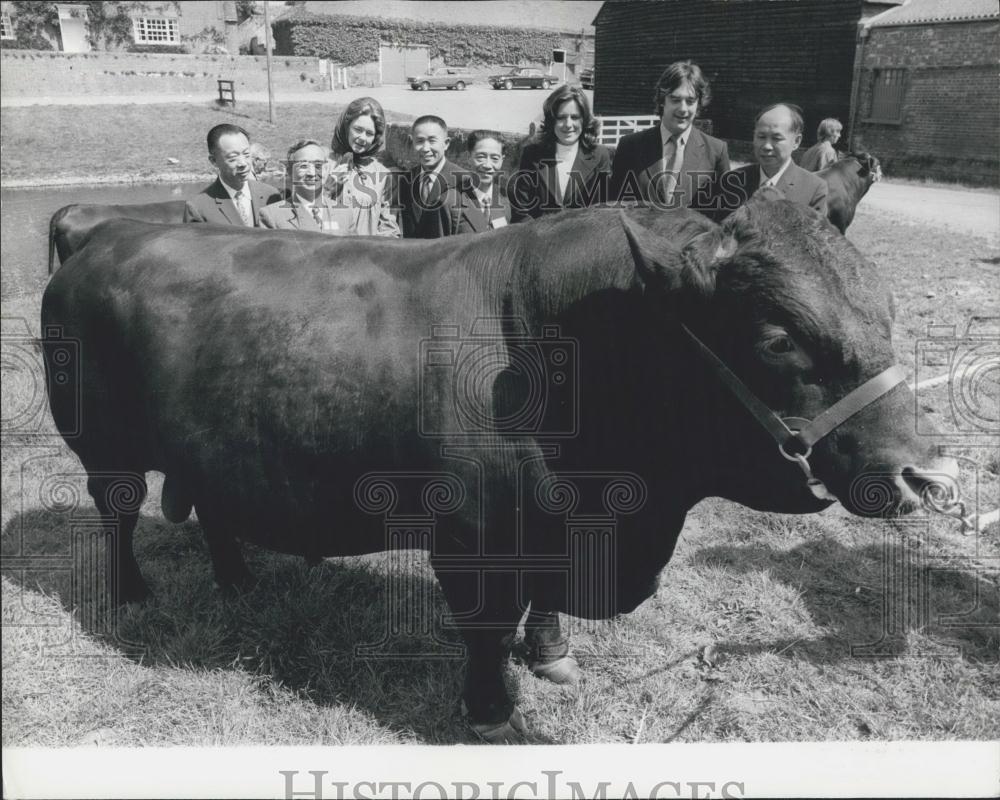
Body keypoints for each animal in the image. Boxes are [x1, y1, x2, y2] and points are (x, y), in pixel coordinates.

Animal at [43, 197, 956, 740]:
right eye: (776, 338)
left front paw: (545, 656)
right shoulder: (473, 539)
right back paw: (132, 594)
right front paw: (489, 712)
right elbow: (485, 629)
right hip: (101, 446)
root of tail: (106, 224)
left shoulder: (547, 528)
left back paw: (237, 582)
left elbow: (535, 609)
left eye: (886, 310)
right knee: (118, 510)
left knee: (212, 506)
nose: (927, 476)